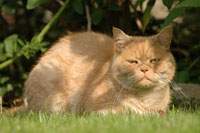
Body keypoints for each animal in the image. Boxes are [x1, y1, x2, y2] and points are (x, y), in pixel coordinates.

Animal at [23, 25, 176, 115]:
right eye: (133, 62)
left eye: (154, 60)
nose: (144, 69)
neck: (145, 99)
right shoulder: (98, 111)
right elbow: (125, 112)